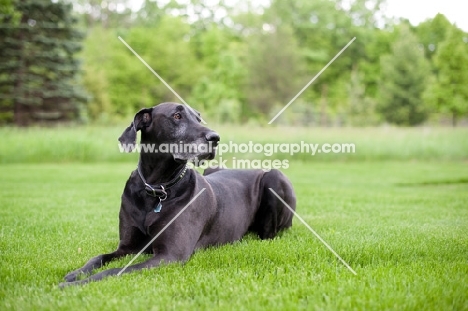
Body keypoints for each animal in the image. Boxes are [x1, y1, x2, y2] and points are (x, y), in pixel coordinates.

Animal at [61, 103, 296, 288]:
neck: (157, 189)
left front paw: (75, 284)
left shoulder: (170, 255)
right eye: (176, 116)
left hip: (274, 177)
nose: (215, 138)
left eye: (199, 117)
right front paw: (75, 274)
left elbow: (114, 271)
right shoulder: (127, 247)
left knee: (269, 233)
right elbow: (98, 258)